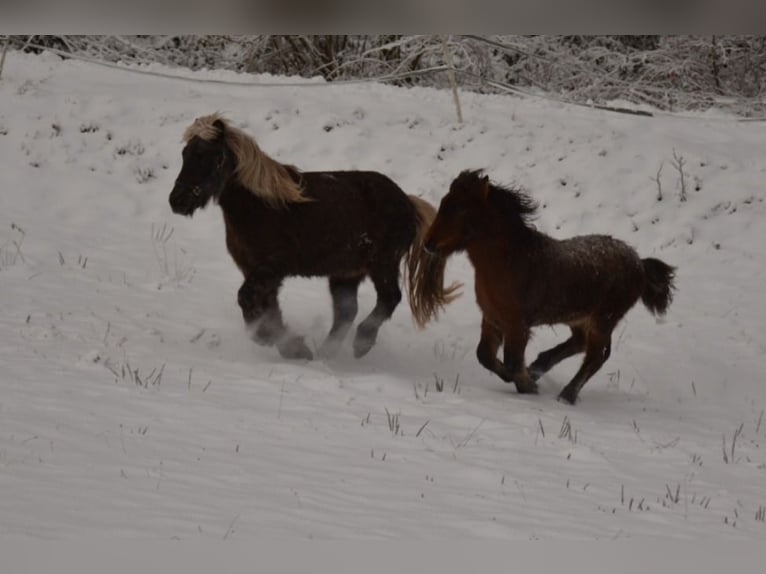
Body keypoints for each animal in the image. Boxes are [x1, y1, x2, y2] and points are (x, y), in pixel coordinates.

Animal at [169, 113, 458, 361]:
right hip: (345, 274)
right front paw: (291, 347)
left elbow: (247, 299)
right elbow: (268, 308)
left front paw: (273, 340)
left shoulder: (271, 268)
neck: (262, 206)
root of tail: (407, 202)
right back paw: (327, 353)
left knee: (389, 299)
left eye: (208, 155)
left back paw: (361, 343)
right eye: (185, 154)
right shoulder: (256, 270)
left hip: (382, 265)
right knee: (346, 312)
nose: (177, 201)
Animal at [417, 169, 676, 404]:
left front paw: (528, 387)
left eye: (460, 209)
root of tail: (639, 263)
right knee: (580, 344)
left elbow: (512, 362)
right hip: (580, 317)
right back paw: (538, 367)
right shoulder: (492, 317)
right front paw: (526, 378)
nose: (428, 244)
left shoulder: (517, 325)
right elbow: (485, 356)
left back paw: (566, 395)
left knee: (596, 357)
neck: (511, 262)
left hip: (604, 319)